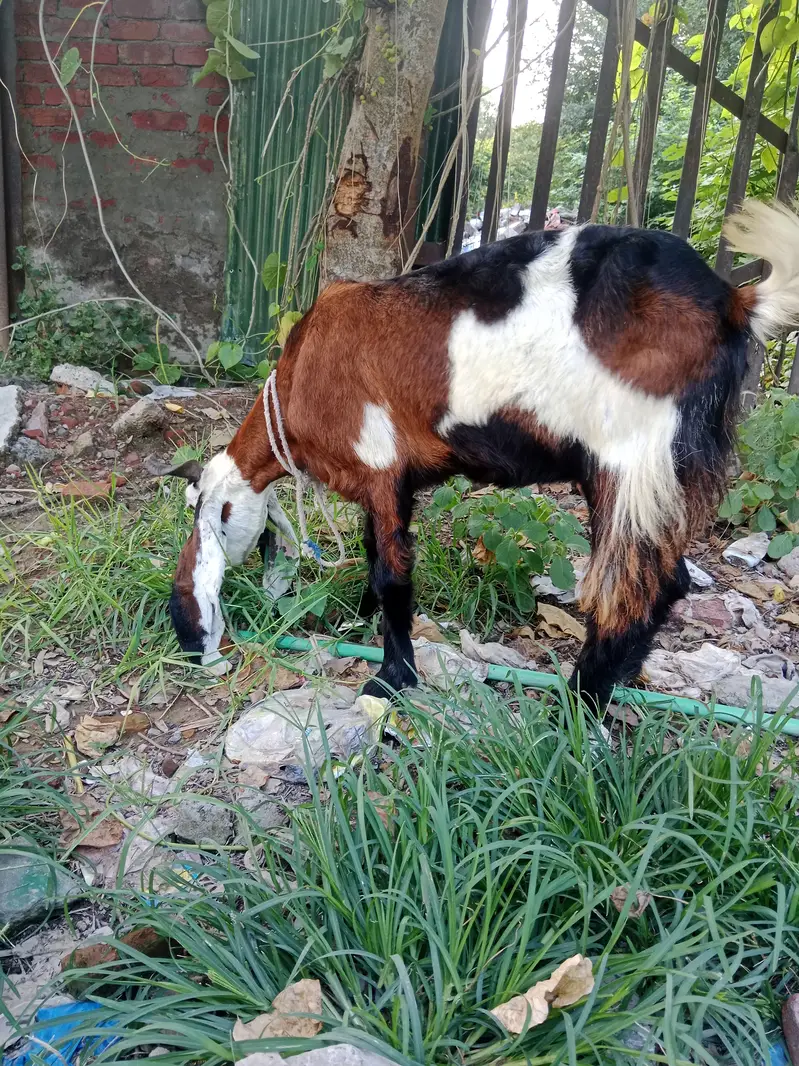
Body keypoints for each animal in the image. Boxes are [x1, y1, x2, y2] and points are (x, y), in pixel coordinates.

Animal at [168, 200, 799, 706]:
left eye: (215, 519)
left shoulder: (380, 466)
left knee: (635, 591)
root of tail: (733, 299)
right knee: (666, 582)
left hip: (633, 455)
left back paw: (576, 709)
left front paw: (392, 679)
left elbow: (392, 574)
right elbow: (374, 556)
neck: (300, 374)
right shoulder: (387, 484)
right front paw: (362, 623)